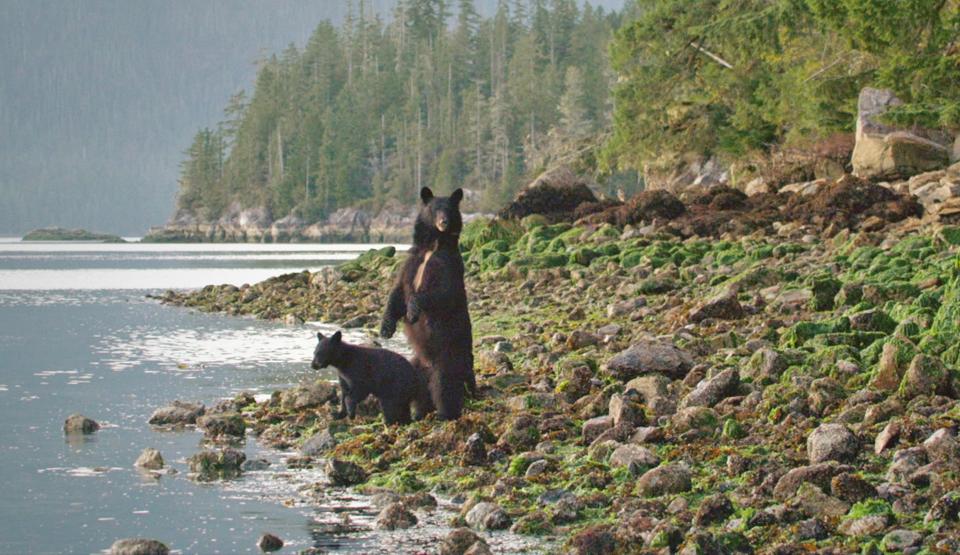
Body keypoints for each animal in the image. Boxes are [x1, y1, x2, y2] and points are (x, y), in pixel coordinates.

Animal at [379, 187, 476, 420]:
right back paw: (412, 414)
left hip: (448, 359)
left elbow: (442, 293)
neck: (433, 246)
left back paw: (444, 413)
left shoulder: (448, 265)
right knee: (410, 388)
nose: (443, 221)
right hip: (413, 365)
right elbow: (397, 292)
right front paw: (386, 328)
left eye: (449, 209)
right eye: (434, 209)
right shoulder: (411, 263)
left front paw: (413, 310)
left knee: (445, 386)